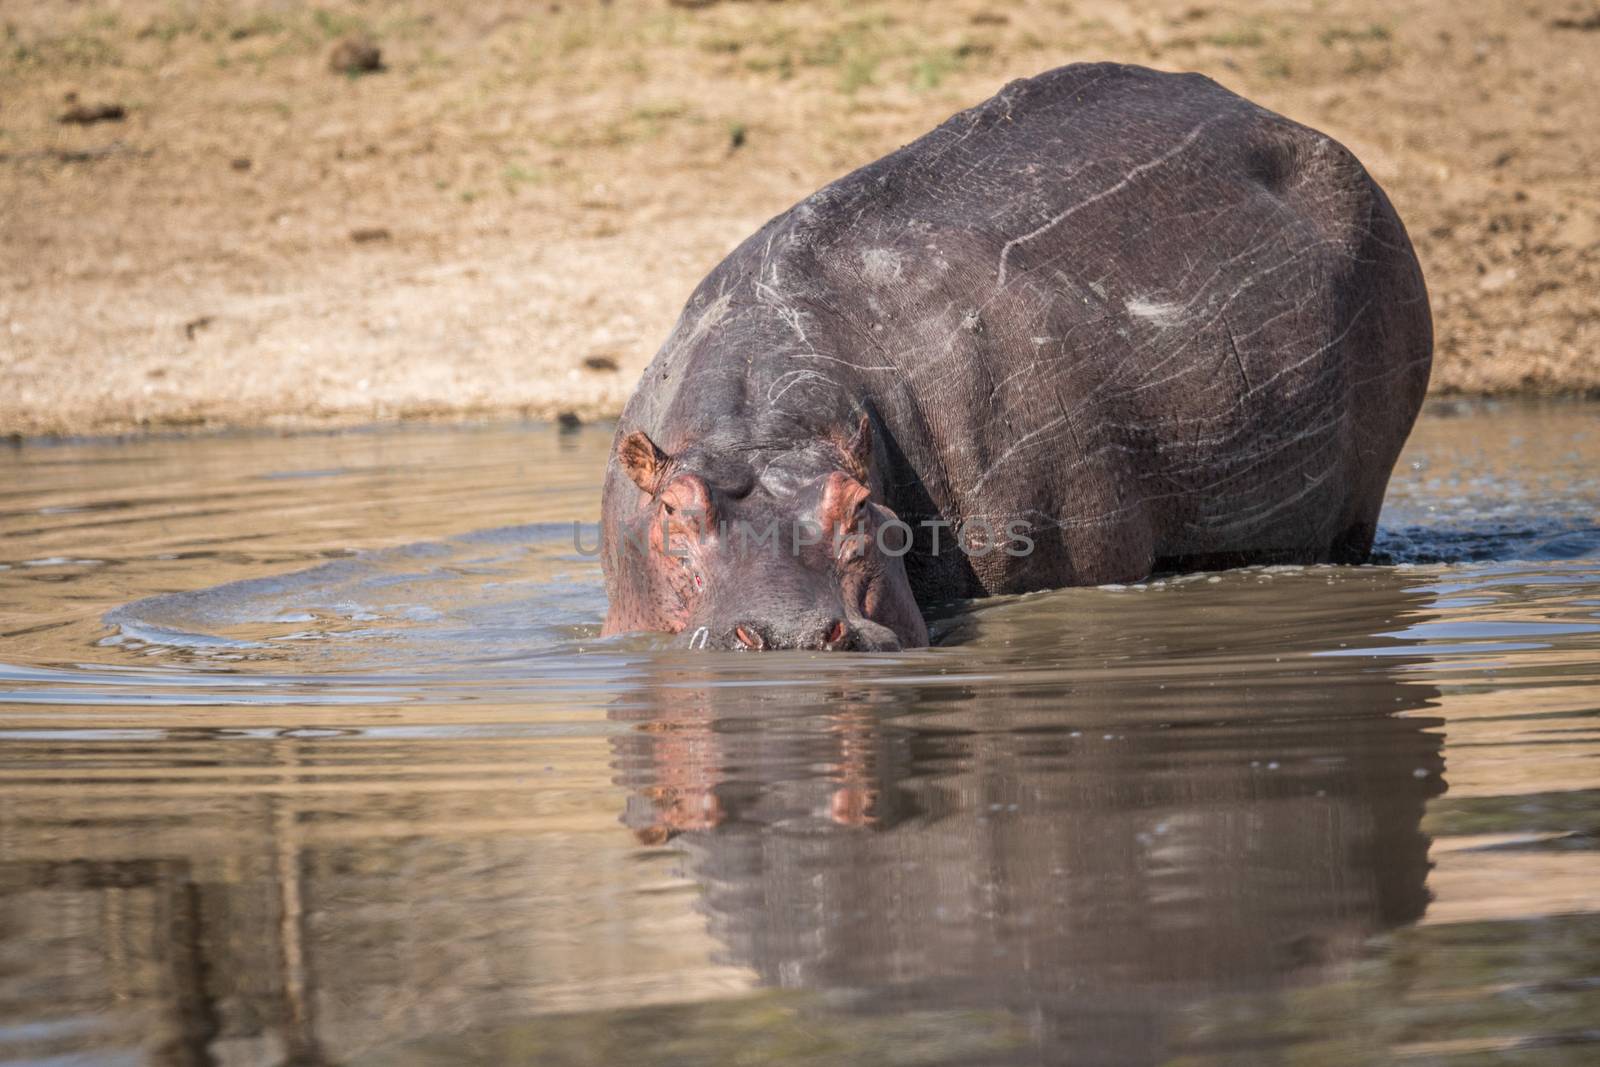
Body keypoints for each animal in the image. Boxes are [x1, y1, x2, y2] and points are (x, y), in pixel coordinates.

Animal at [595, 66, 1433, 655]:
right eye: (670, 511)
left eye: (859, 507)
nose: (787, 632)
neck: (761, 435)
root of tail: (1295, 124)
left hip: (1356, 495)